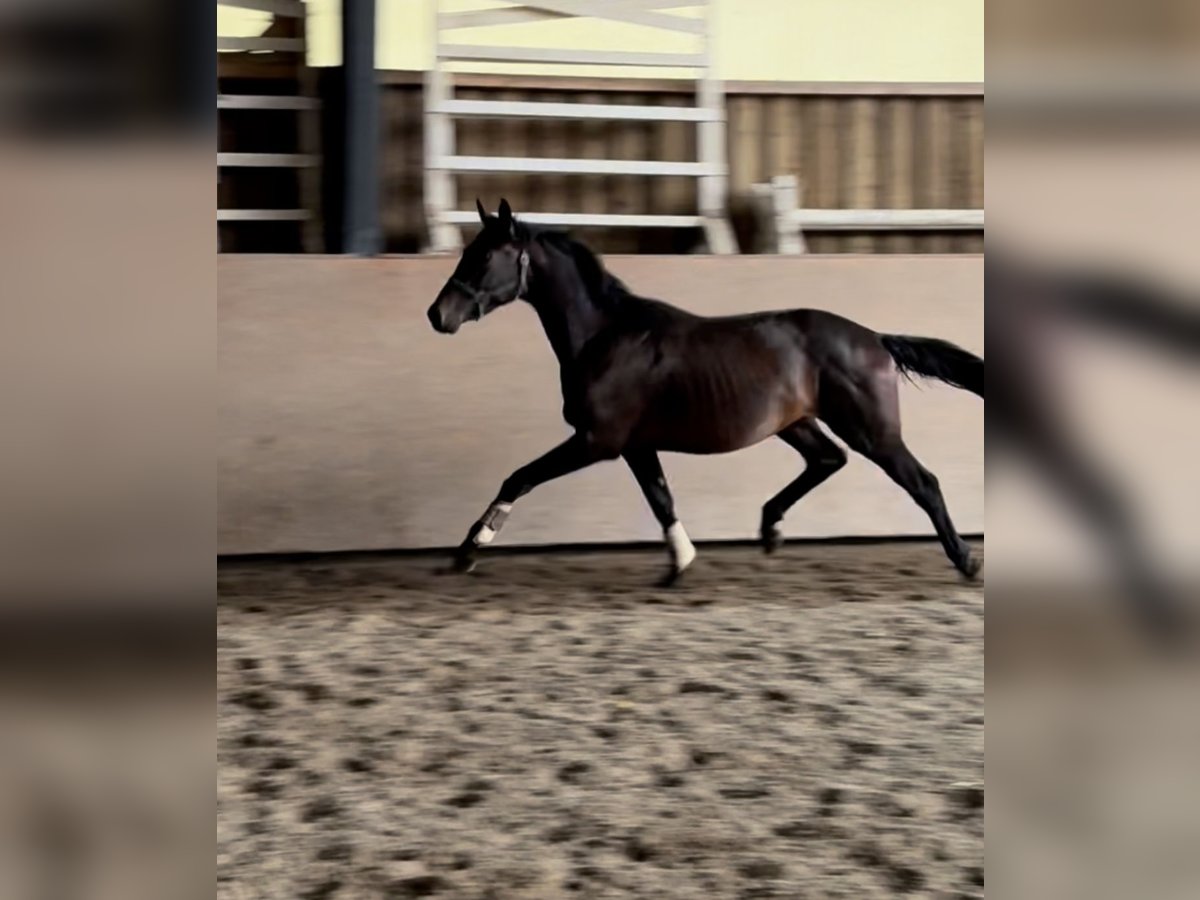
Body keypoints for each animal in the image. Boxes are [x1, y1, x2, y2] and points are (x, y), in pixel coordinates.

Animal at [427, 199, 979, 585]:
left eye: (486, 256)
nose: (438, 314)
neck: (605, 336)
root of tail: (875, 338)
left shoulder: (596, 441)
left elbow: (518, 477)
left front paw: (468, 550)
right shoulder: (634, 445)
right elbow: (661, 499)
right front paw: (679, 563)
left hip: (871, 430)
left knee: (922, 482)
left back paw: (966, 561)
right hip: (796, 423)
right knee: (828, 459)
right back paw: (770, 530)